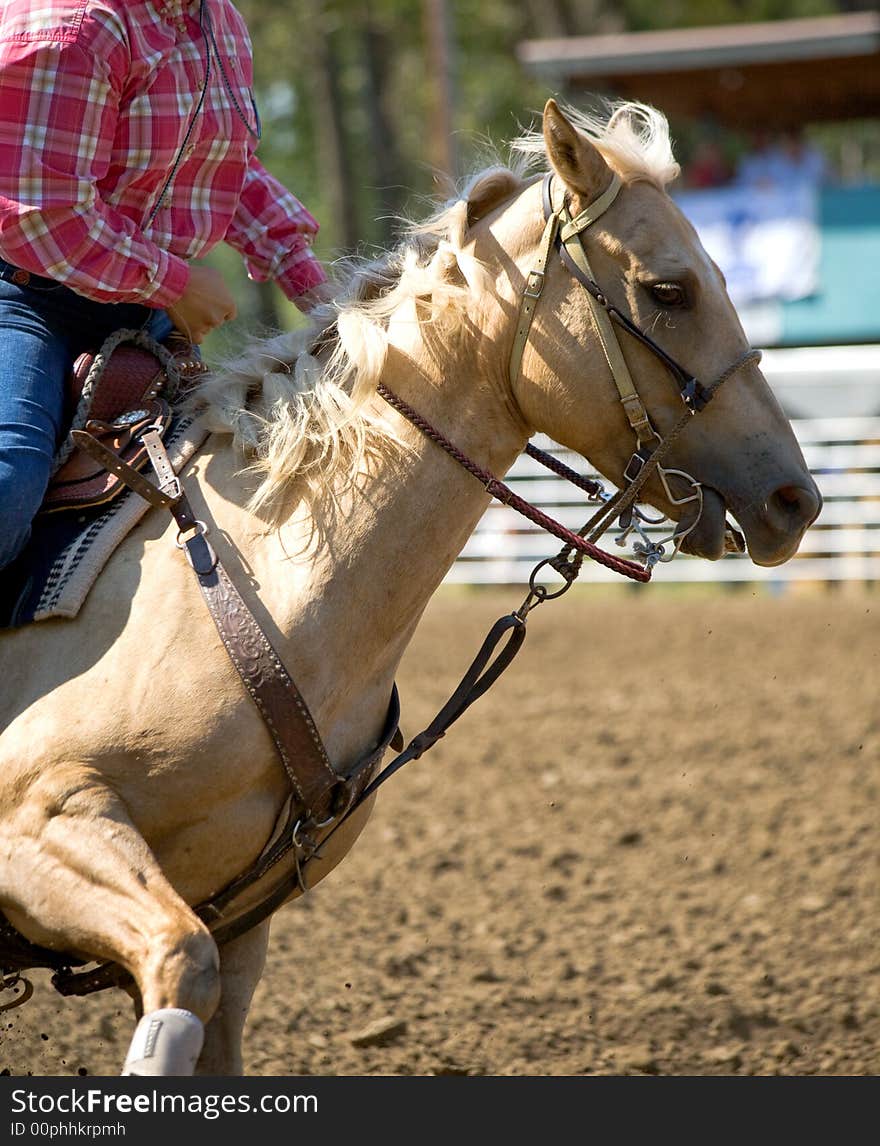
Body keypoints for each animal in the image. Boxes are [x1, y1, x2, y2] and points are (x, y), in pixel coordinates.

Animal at [0, 100, 815, 1072]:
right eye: (668, 290)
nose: (796, 498)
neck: (258, 577)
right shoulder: (42, 819)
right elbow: (176, 962)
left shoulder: (236, 931)